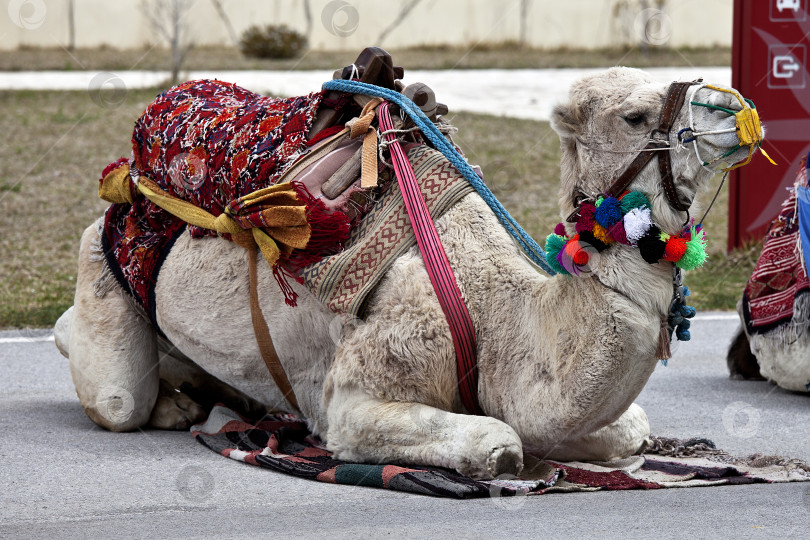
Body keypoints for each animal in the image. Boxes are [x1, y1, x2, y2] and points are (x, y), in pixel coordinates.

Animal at [53, 68, 760, 480]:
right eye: (633, 116)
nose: (734, 110)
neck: (504, 318)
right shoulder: (357, 397)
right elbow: (500, 442)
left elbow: (628, 431)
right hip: (100, 261)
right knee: (116, 395)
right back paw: (171, 404)